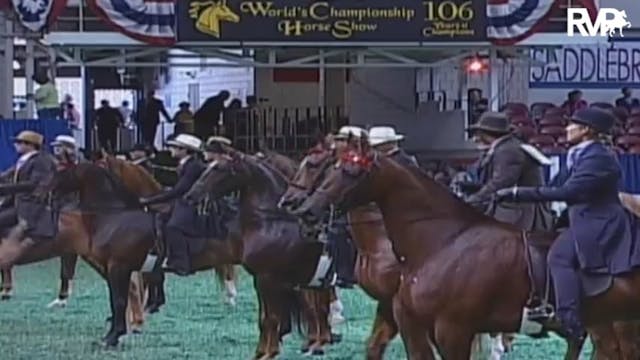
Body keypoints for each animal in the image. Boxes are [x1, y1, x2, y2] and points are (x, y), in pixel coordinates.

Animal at [182, 150, 338, 358]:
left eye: (219, 168)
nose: (191, 195)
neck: (271, 223)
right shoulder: (268, 280)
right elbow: (267, 317)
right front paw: (264, 351)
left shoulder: (267, 280)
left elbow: (271, 318)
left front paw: (268, 353)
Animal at [296, 136, 640, 360]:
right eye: (332, 166)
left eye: (350, 171)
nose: (305, 209)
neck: (441, 243)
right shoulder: (414, 324)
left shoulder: (453, 330)